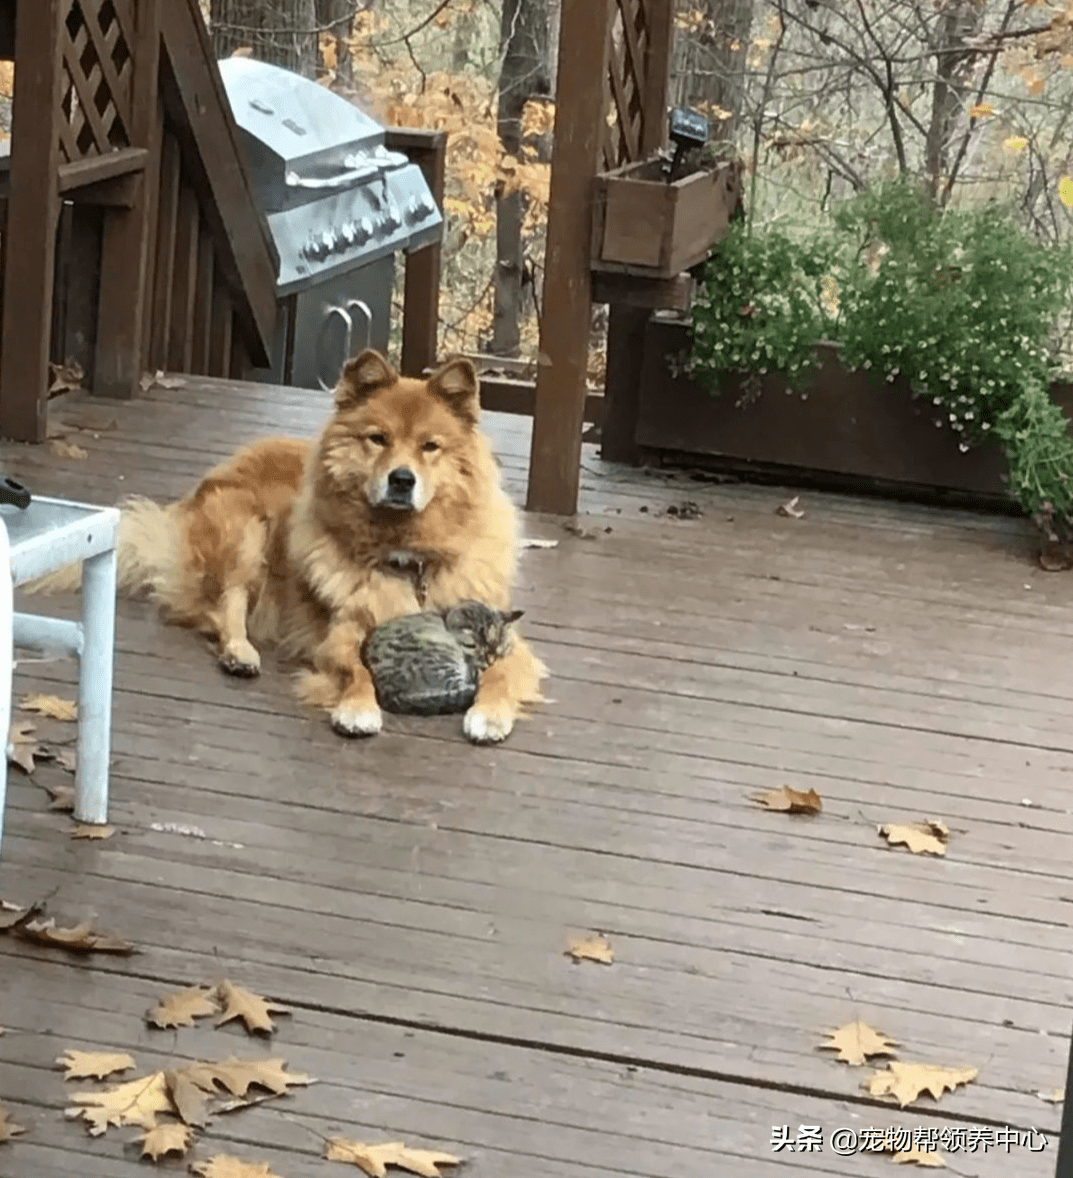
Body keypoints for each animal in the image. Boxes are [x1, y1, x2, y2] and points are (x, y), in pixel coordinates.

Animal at [31, 343, 546, 744]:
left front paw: (489, 713)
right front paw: (358, 708)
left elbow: (501, 672)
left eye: (430, 447)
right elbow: (357, 670)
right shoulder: (342, 633)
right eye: (377, 439)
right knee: (223, 606)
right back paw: (240, 653)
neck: (406, 556)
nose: (402, 479)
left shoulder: (505, 636)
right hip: (246, 532)